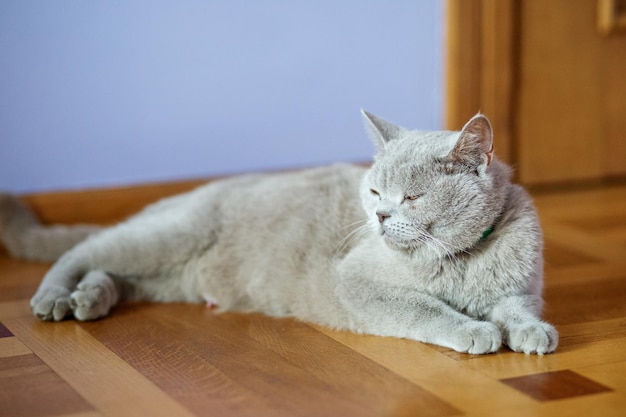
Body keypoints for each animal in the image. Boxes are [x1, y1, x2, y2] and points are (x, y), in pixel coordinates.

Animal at [0, 111, 556, 354]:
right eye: (376, 192)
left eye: (412, 198)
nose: (378, 217)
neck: (461, 262)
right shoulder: (358, 281)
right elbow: (424, 309)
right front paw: (474, 330)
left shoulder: (520, 285)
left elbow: (517, 306)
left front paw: (532, 333)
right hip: (171, 235)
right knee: (82, 251)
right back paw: (56, 299)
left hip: (166, 276)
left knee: (108, 272)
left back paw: (88, 300)